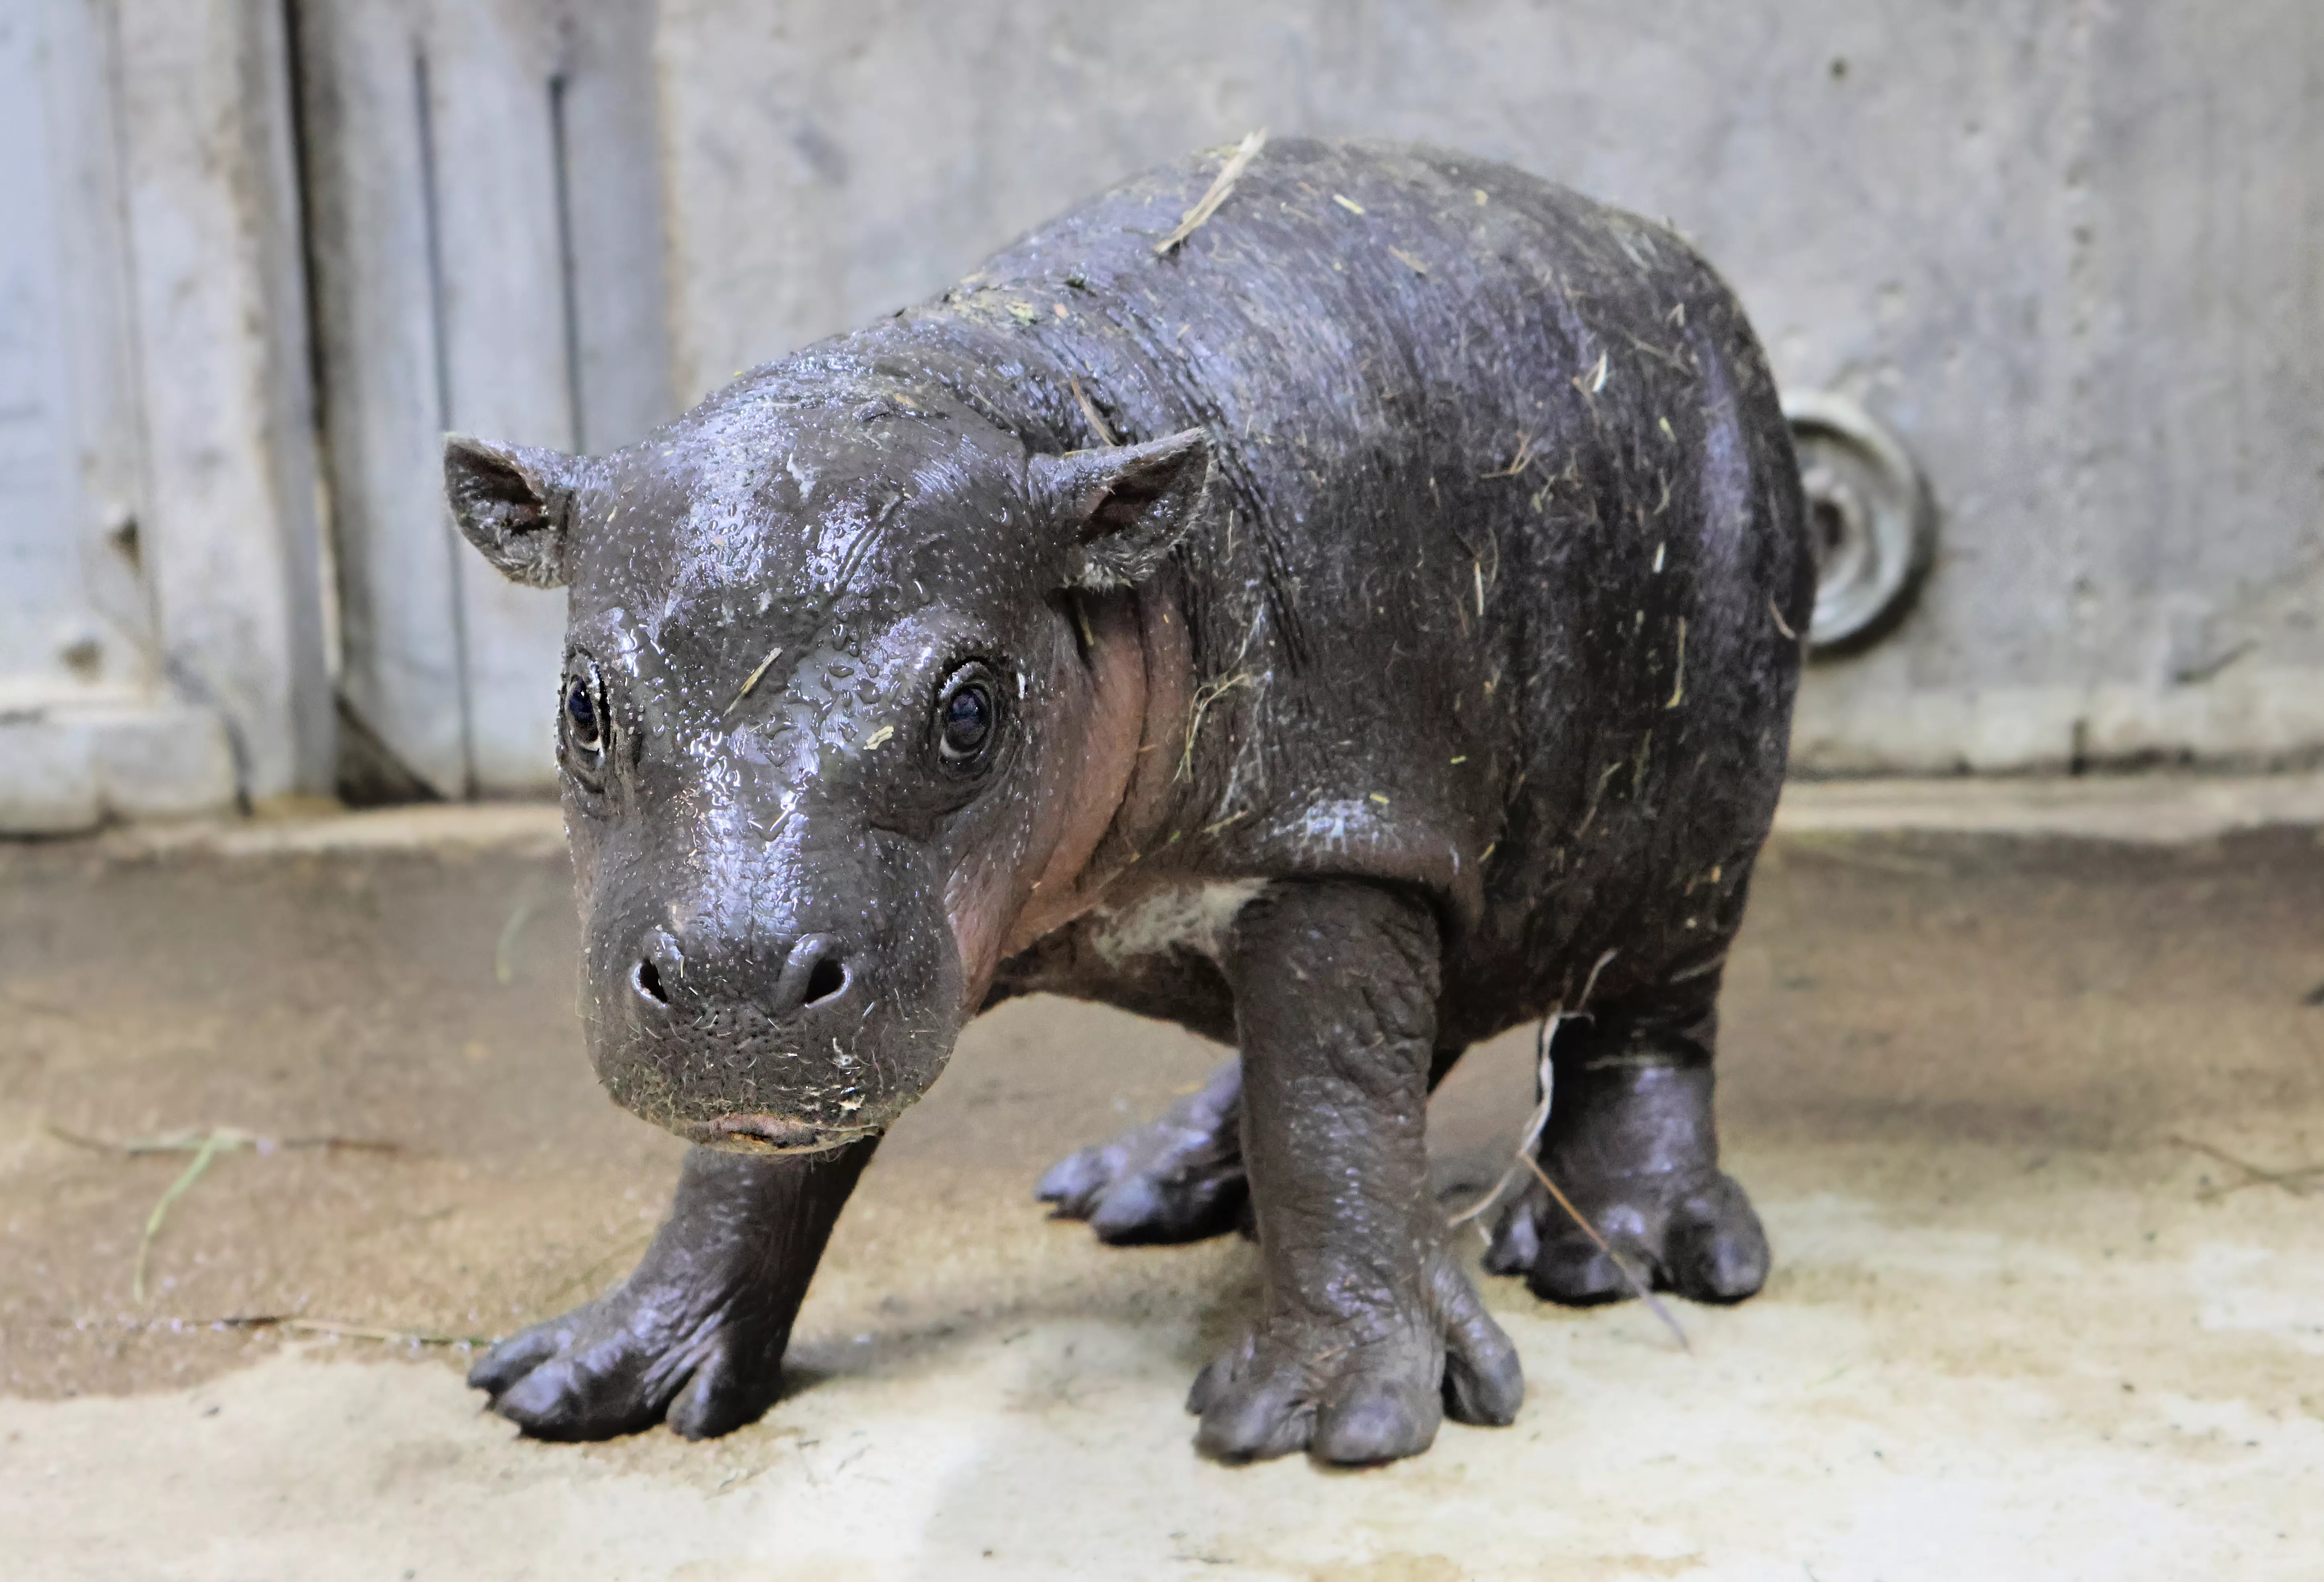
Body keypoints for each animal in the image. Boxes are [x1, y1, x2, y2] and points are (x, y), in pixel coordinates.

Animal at [446, 136, 1811, 1466]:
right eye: (582, 704)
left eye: (968, 709)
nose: (732, 985)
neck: (1031, 402)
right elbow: (751, 1171)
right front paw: (570, 1380)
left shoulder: (1342, 833)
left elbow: (1326, 1105)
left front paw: (1332, 1418)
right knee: (1368, 1040)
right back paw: (1135, 1188)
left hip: (1690, 821)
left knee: (1632, 1027)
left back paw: (1611, 1249)